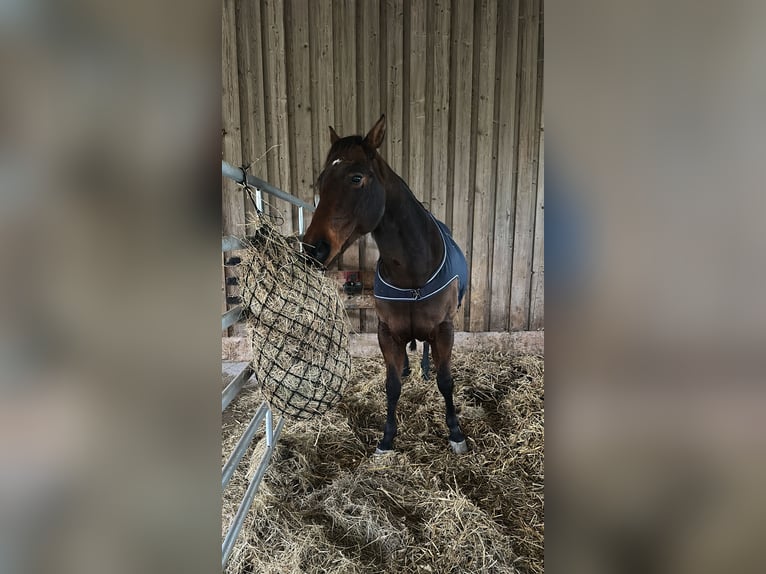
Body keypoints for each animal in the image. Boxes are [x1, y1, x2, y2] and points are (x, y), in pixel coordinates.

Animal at [303, 114, 469, 455]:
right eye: (321, 180)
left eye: (356, 178)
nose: (314, 249)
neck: (413, 273)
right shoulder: (386, 333)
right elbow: (392, 385)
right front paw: (387, 438)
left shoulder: (444, 330)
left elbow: (446, 381)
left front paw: (456, 433)